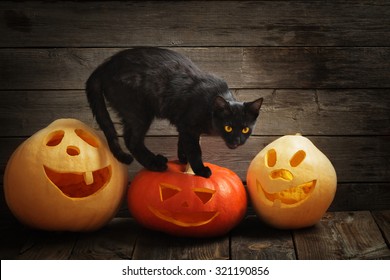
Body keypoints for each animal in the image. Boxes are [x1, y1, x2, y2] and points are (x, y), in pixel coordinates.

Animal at [85, 47, 262, 177]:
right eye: (228, 127)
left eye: (245, 129)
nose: (236, 141)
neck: (210, 103)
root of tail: (106, 65)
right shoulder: (188, 126)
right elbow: (195, 150)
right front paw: (200, 170)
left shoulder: (184, 126)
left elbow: (182, 142)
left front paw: (183, 159)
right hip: (138, 112)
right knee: (132, 141)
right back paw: (155, 164)